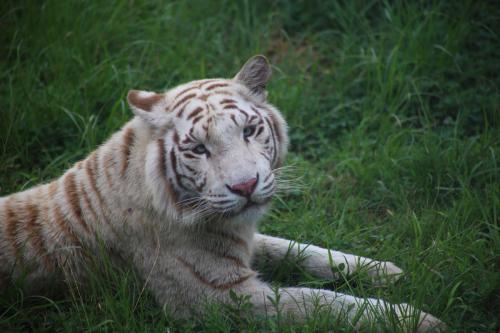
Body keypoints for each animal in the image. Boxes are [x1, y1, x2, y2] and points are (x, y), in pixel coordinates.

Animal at [0, 55, 446, 330]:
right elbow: (322, 302)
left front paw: (383, 270)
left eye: (249, 130)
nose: (245, 186)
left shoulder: (240, 239)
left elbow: (300, 250)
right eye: (198, 149)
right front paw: (416, 320)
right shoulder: (219, 297)